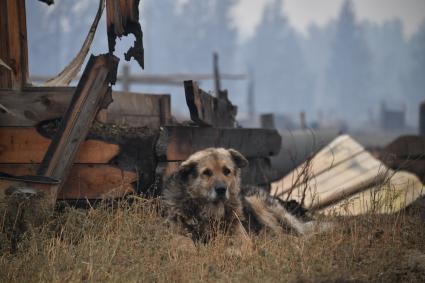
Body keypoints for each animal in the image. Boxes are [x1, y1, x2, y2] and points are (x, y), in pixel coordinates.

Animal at [161, 148, 330, 254]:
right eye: (207, 173)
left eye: (226, 171)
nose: (221, 189)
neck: (211, 212)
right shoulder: (176, 234)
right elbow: (181, 243)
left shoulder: (241, 237)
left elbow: (240, 246)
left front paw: (231, 252)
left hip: (260, 206)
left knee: (291, 235)